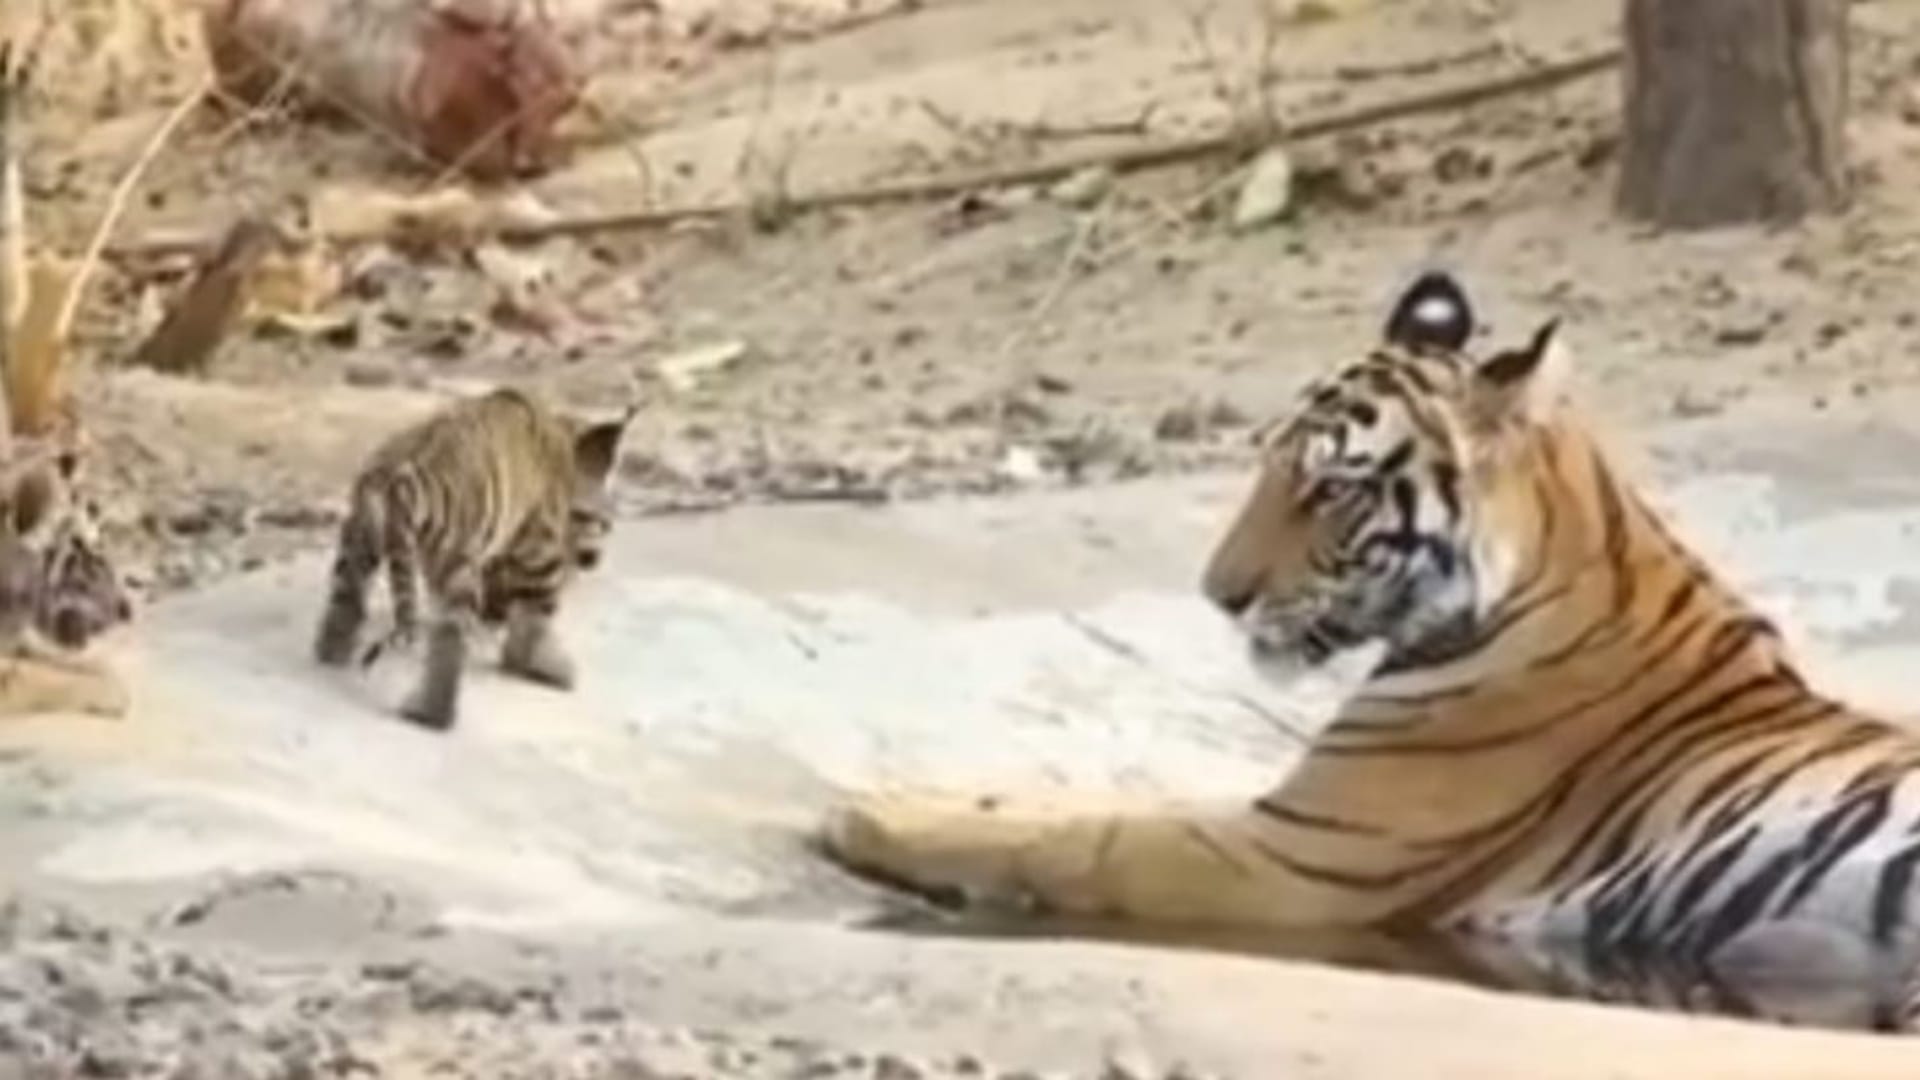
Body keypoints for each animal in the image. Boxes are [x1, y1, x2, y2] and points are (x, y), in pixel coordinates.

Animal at [313, 386, 634, 731]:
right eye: (599, 520)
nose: (594, 558)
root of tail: (400, 479)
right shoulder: (540, 553)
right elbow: (538, 617)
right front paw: (544, 666)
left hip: (359, 539)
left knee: (346, 595)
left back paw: (332, 652)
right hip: (456, 566)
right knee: (449, 640)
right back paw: (432, 714)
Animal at [819, 271, 1920, 1029]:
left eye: (1330, 489)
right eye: (1267, 468)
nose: (1219, 595)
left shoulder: (1290, 861)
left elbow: (1076, 840)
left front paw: (863, 815)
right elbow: (1051, 802)